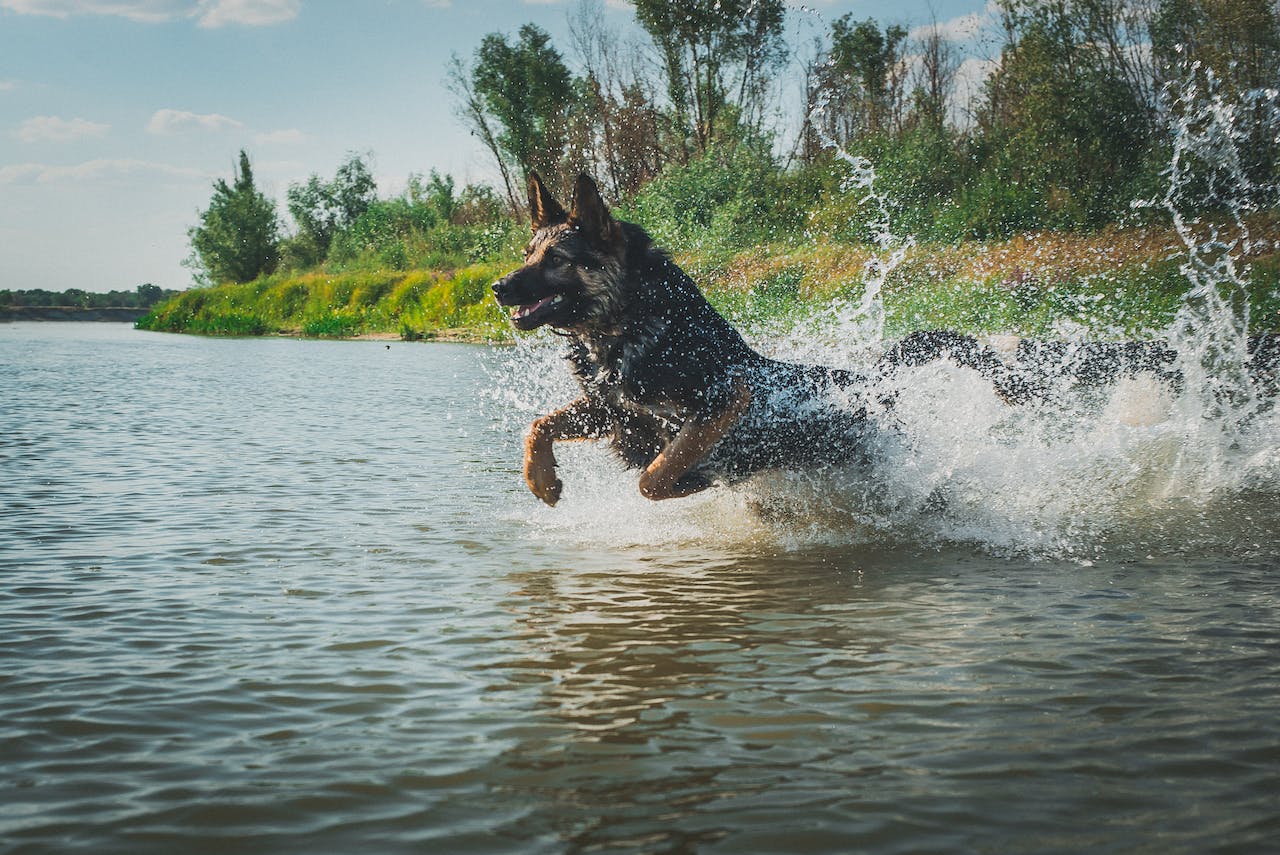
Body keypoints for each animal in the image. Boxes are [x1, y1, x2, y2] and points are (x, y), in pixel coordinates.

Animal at [488, 175, 870, 506]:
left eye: (556, 258)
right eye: (527, 255)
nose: (497, 287)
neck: (630, 321)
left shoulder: (724, 399)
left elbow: (654, 476)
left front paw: (691, 482)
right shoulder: (608, 408)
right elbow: (539, 425)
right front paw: (541, 480)